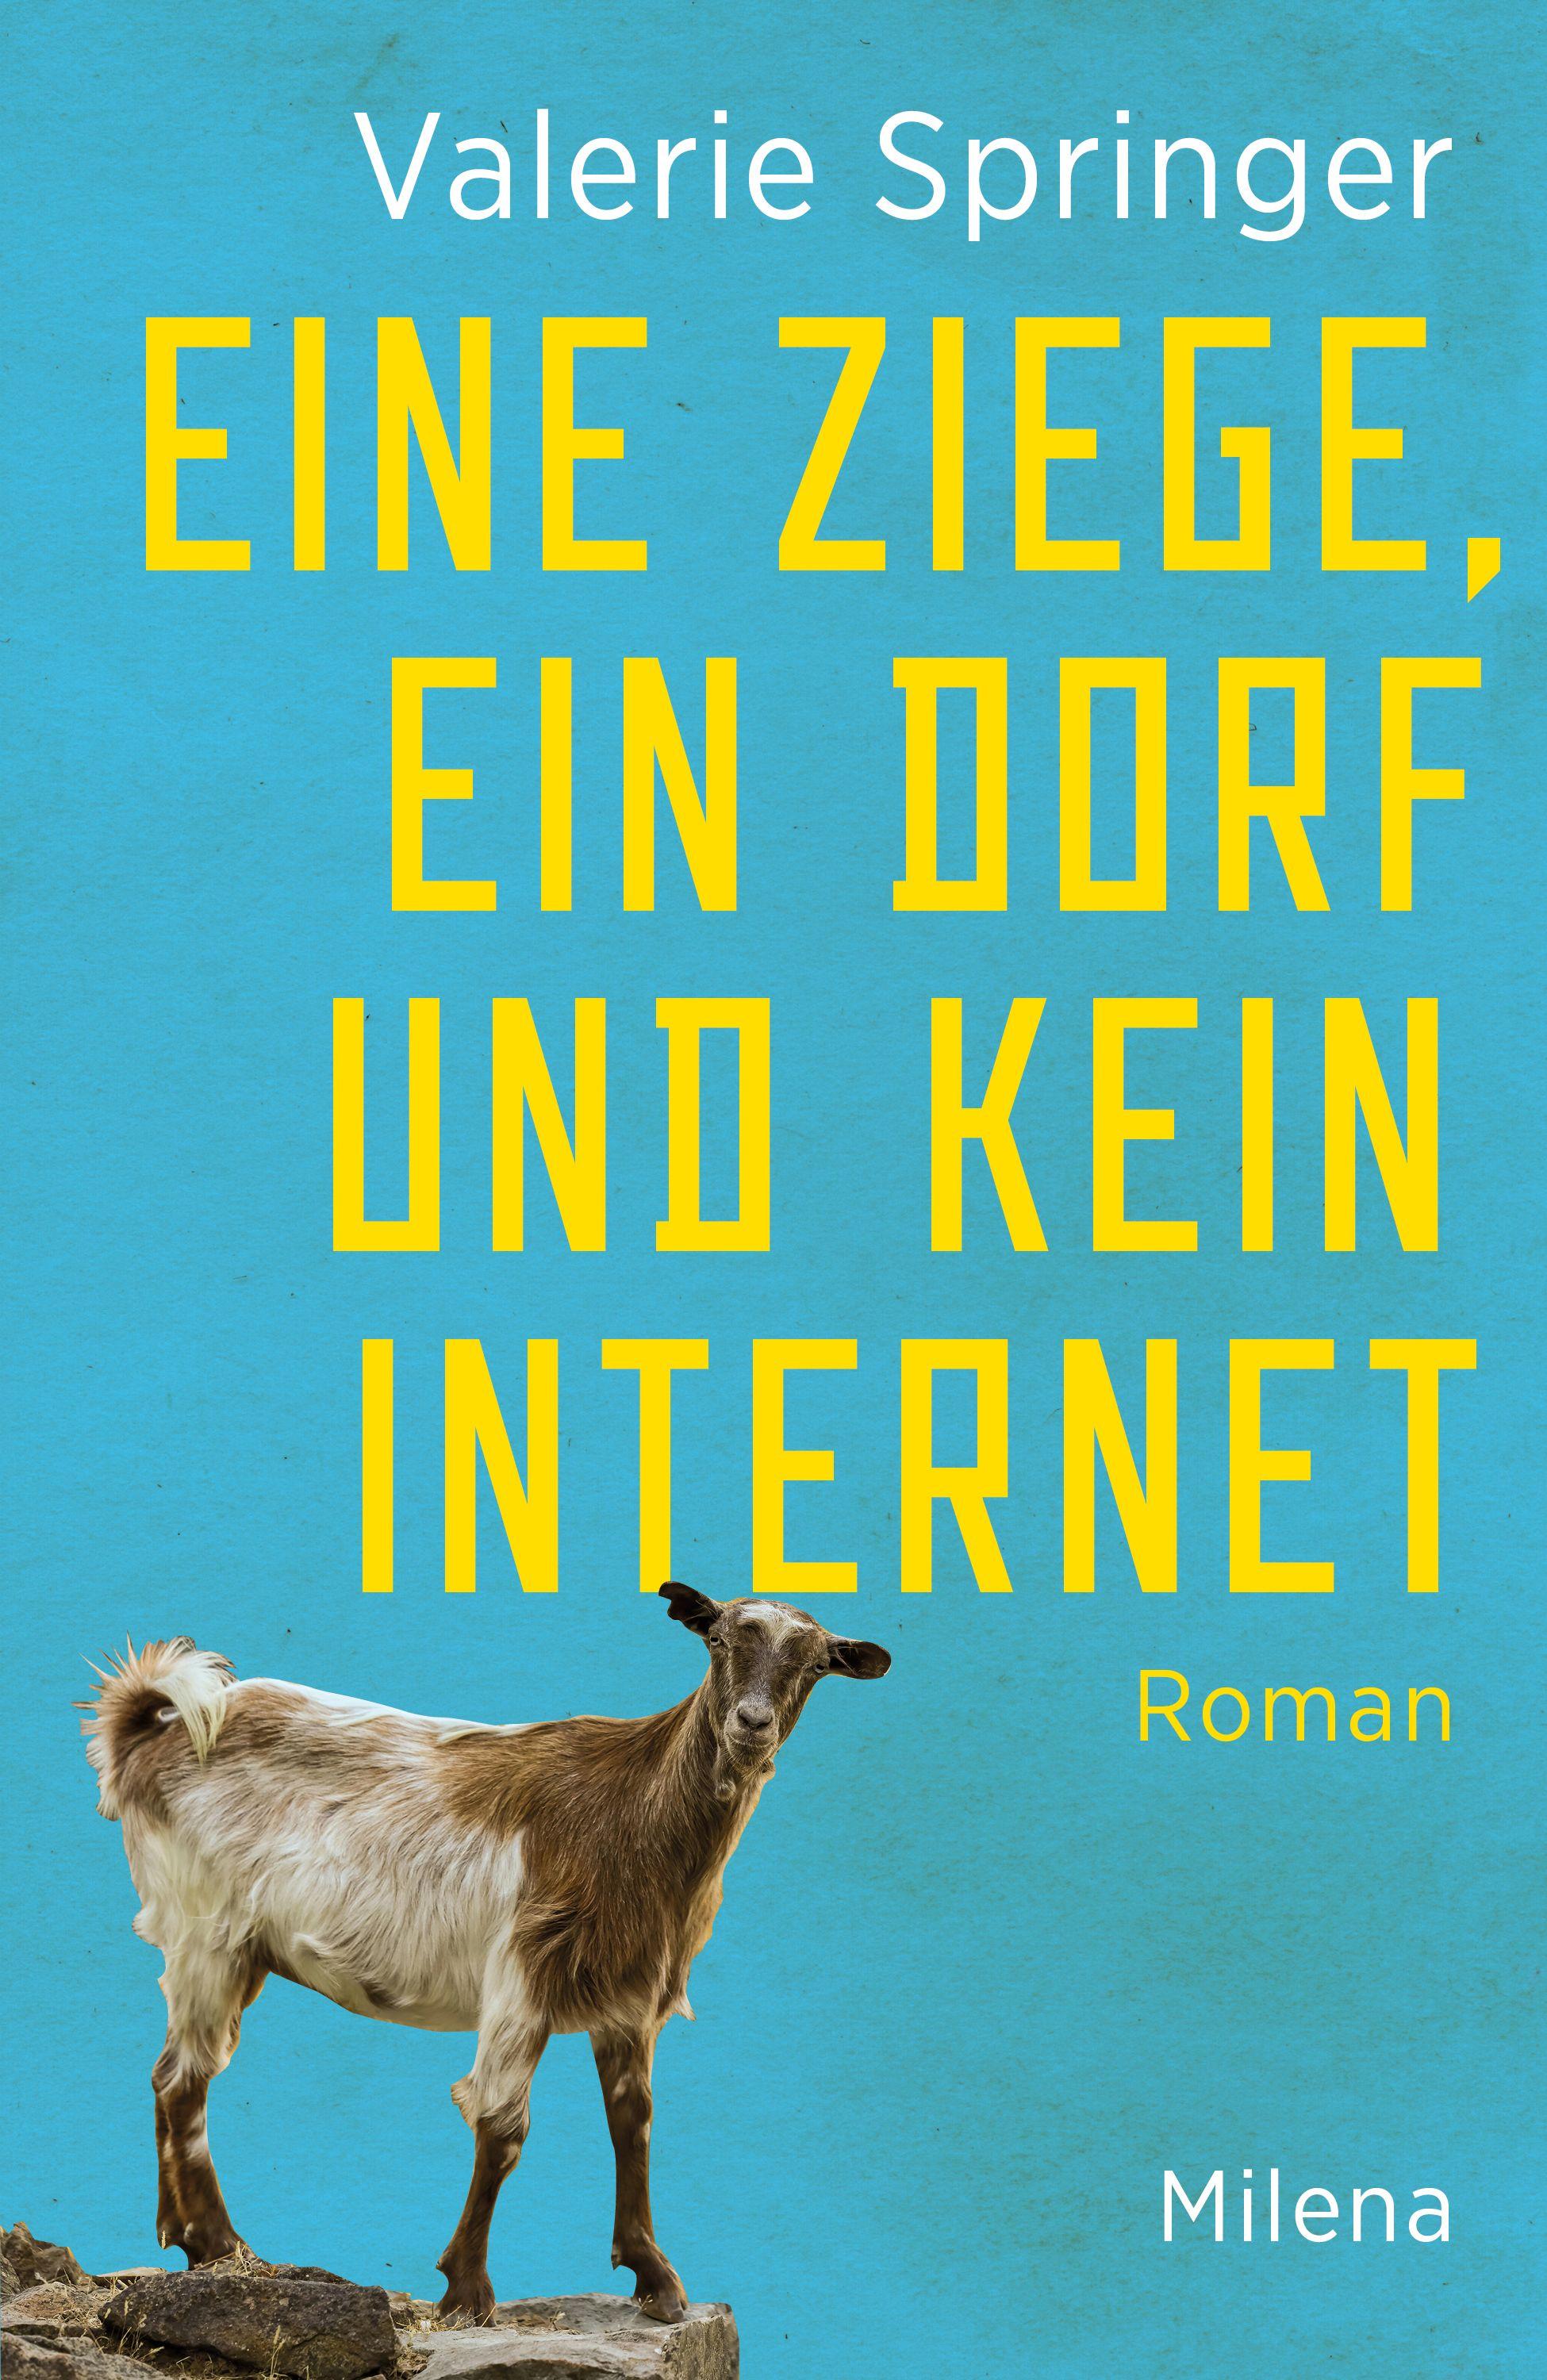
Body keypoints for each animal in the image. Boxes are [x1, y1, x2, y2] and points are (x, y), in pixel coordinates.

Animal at [84, 1583, 890, 2321]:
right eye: (717, 1641)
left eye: (815, 1665)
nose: (752, 1723)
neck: (638, 1813)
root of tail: (150, 1729)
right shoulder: (523, 1979)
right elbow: (502, 2128)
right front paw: (467, 2290)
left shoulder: (628, 2000)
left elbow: (633, 2121)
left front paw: (654, 2277)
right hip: (207, 1933)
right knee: (186, 2078)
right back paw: (222, 2245)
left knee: (169, 2074)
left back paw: (181, 2236)